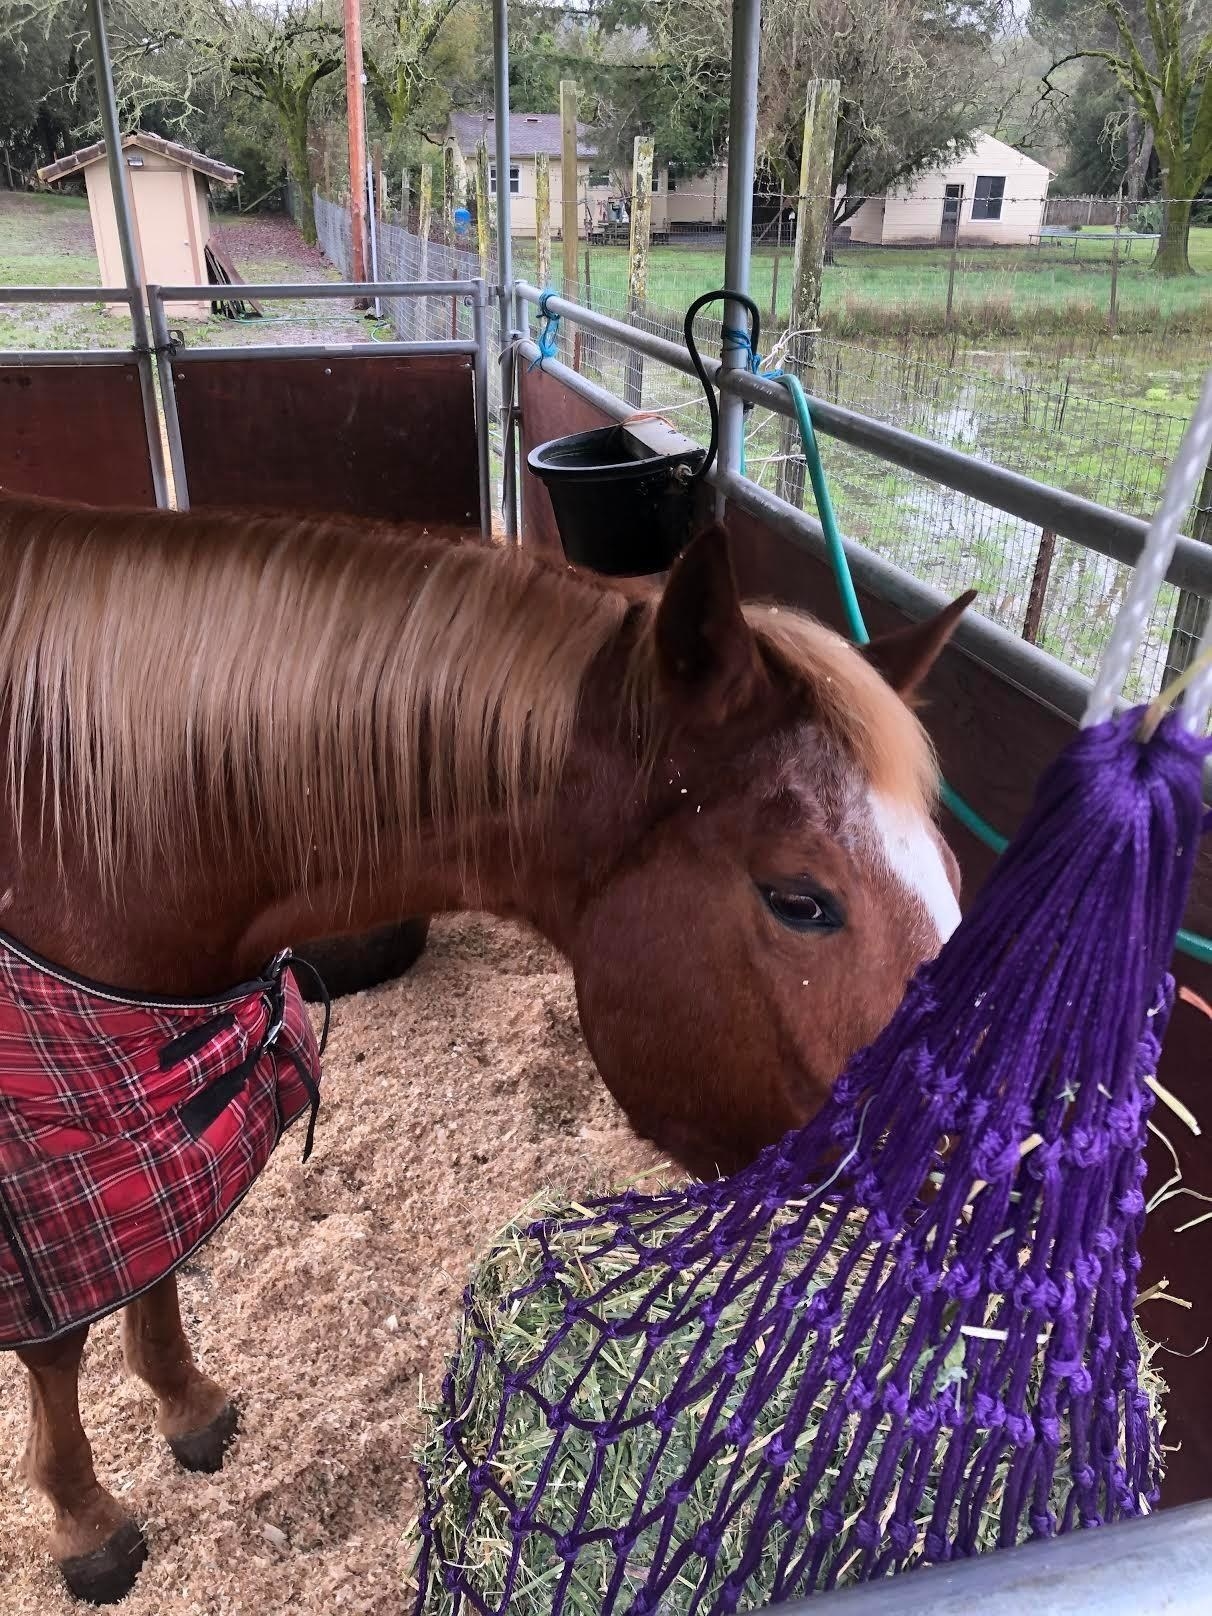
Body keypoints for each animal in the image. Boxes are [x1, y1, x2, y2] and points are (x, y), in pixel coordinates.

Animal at [0, 488, 969, 1590]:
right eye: (800, 900)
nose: (991, 1185)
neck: (73, 828)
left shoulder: (139, 1115)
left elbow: (160, 1255)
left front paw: (185, 1403)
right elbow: (57, 1338)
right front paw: (85, 1519)